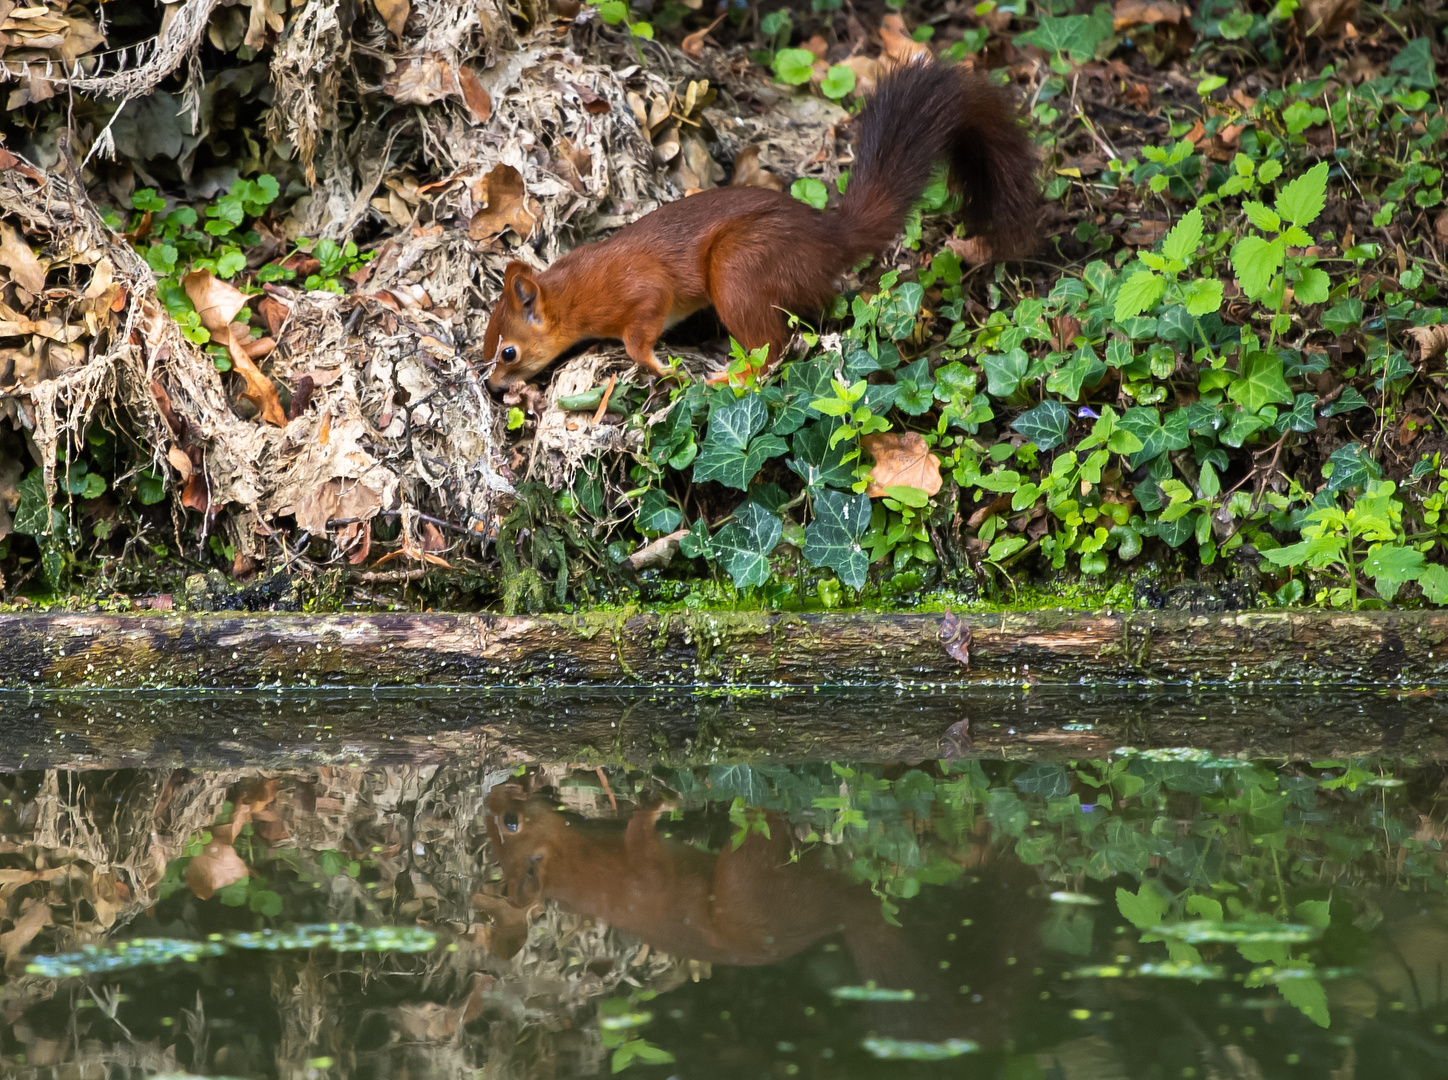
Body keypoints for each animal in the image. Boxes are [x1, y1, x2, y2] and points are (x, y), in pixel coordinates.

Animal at [486, 58, 1042, 387]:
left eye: (508, 352)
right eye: (486, 342)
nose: (492, 388)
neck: (573, 289)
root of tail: (830, 240)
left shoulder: (637, 289)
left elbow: (639, 332)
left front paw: (658, 364)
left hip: (740, 267)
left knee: (772, 348)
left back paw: (730, 378)